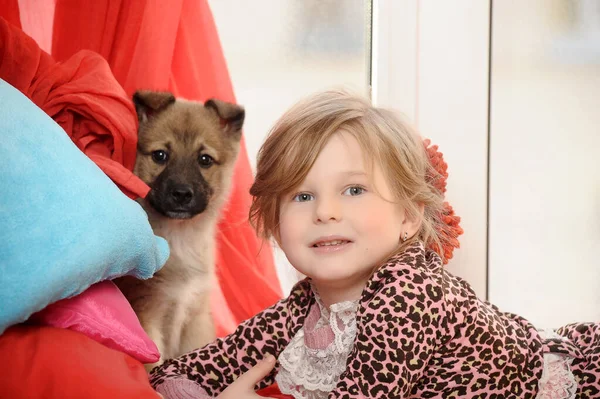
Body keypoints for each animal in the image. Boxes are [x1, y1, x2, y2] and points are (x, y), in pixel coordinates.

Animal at [115, 90, 244, 372]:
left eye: (204, 159)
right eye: (160, 155)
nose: (182, 194)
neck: (181, 238)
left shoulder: (196, 317)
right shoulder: (147, 315)